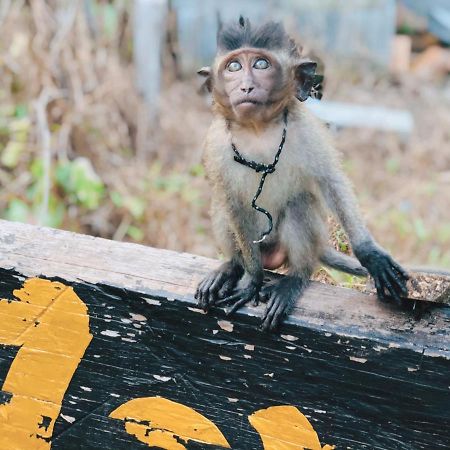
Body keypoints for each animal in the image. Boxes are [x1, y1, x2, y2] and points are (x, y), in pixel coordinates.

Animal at [193, 16, 408, 330]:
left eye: (261, 64)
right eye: (233, 67)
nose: (245, 87)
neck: (258, 129)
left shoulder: (307, 131)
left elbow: (332, 182)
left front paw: (370, 253)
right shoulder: (215, 144)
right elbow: (232, 203)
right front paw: (252, 279)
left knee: (299, 204)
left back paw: (294, 278)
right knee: (223, 206)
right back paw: (232, 266)